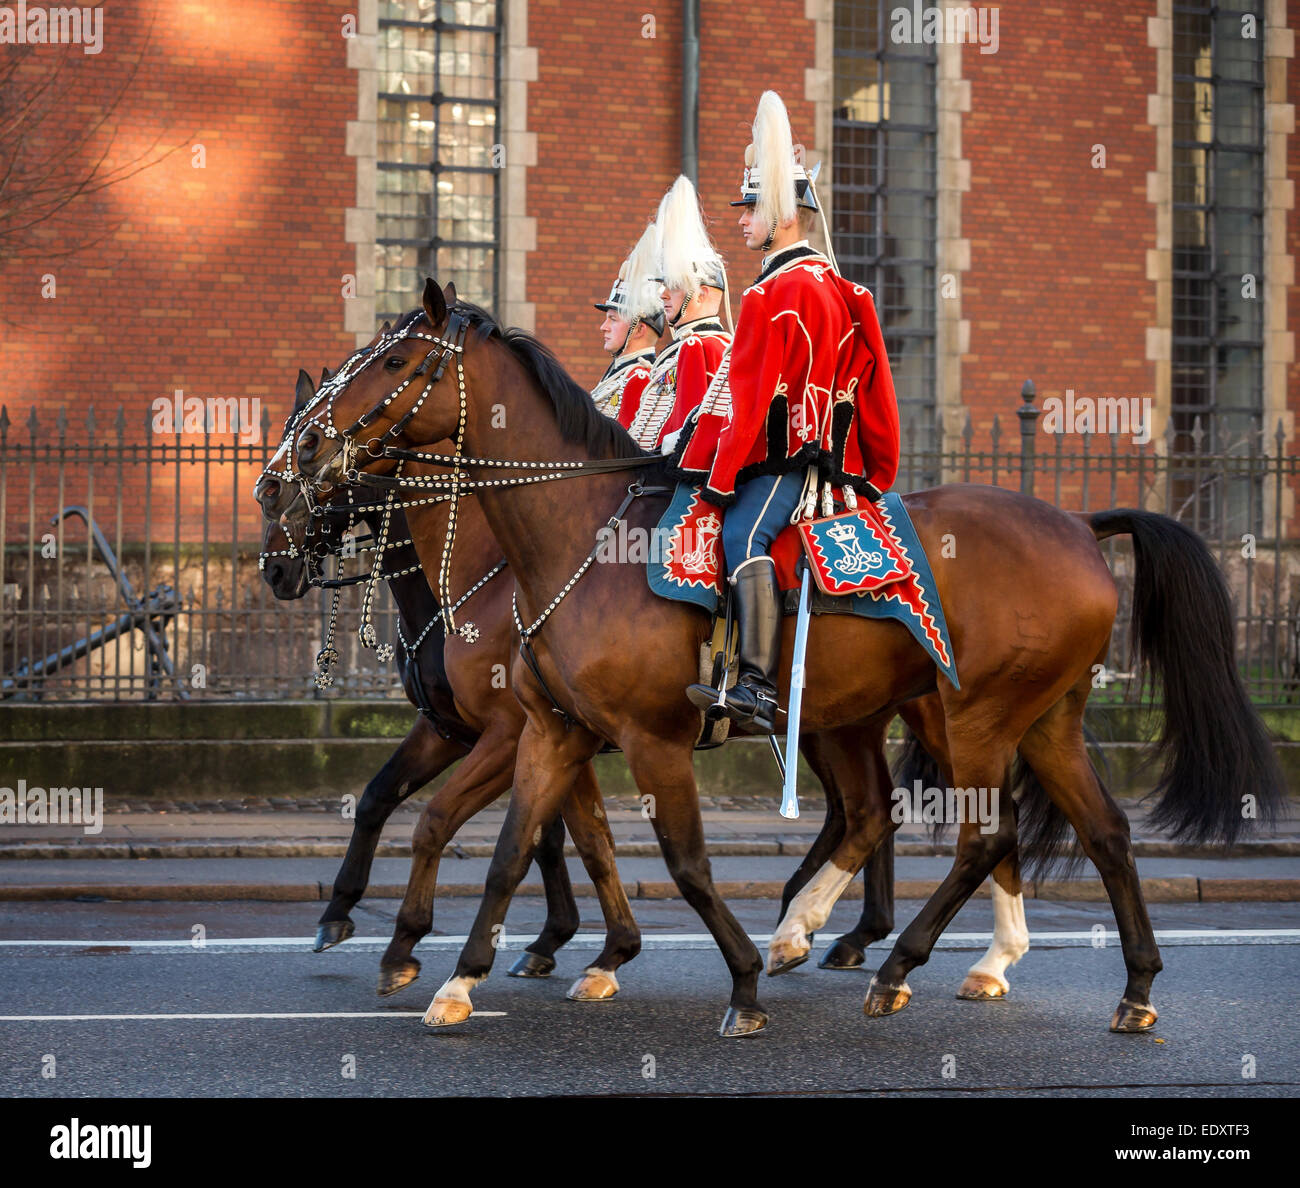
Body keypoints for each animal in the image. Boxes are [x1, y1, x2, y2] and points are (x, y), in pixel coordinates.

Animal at [292, 282, 1279, 1034]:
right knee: (1093, 831)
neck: (569, 540)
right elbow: (508, 848)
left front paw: (733, 983)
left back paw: (892, 961)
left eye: (394, 362)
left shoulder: (637, 739)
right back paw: (1124, 985)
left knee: (976, 833)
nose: (298, 459)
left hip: (974, 716)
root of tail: (1077, 522)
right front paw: (462, 975)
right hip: (1033, 719)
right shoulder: (551, 731)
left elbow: (681, 862)